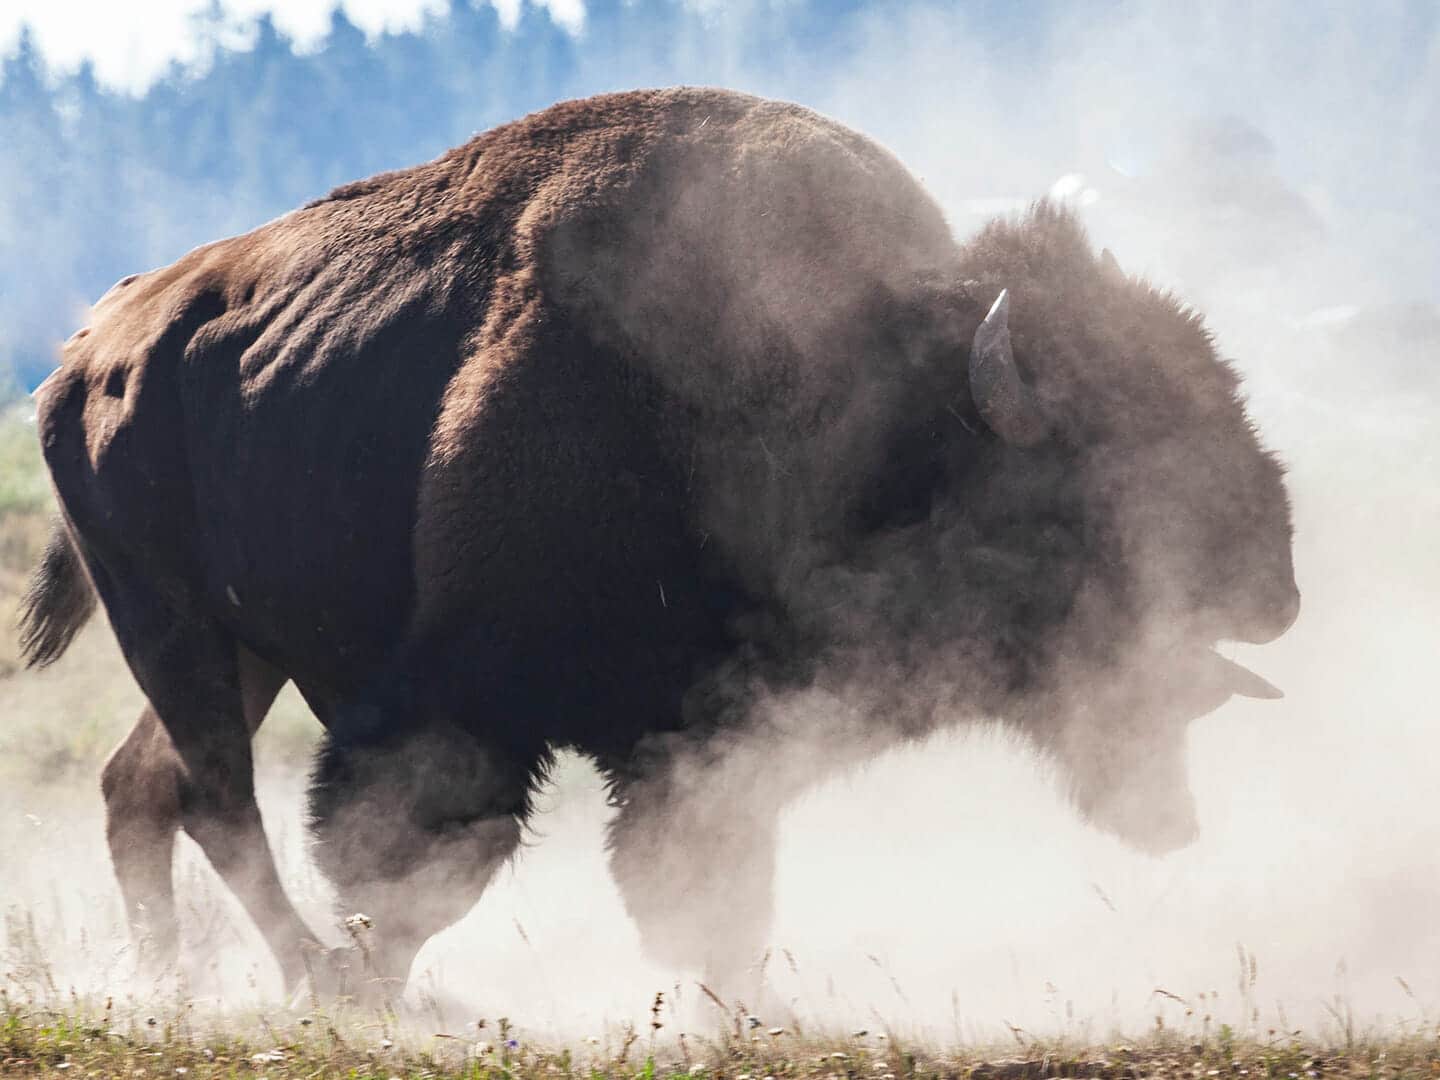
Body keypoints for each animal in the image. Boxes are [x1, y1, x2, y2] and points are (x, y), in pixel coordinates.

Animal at [16, 88, 1301, 1002]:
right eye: (1099, 474)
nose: (1277, 590)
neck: (854, 392)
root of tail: (93, 344)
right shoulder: (469, 710)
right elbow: (424, 861)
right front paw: (381, 993)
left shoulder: (717, 731)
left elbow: (712, 888)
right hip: (170, 620)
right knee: (215, 796)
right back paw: (304, 981)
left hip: (240, 648)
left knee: (147, 786)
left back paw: (183, 987)